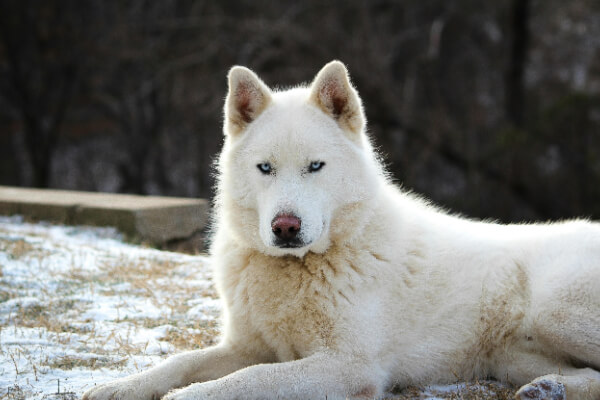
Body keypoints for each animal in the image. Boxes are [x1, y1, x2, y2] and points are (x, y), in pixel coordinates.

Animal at [84, 61, 600, 398]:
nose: (285, 227)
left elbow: (244, 381)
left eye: (315, 166)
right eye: (265, 168)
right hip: (514, 357)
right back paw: (546, 388)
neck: (297, 270)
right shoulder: (246, 346)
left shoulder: (349, 366)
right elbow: (182, 361)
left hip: (556, 311)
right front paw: (118, 387)